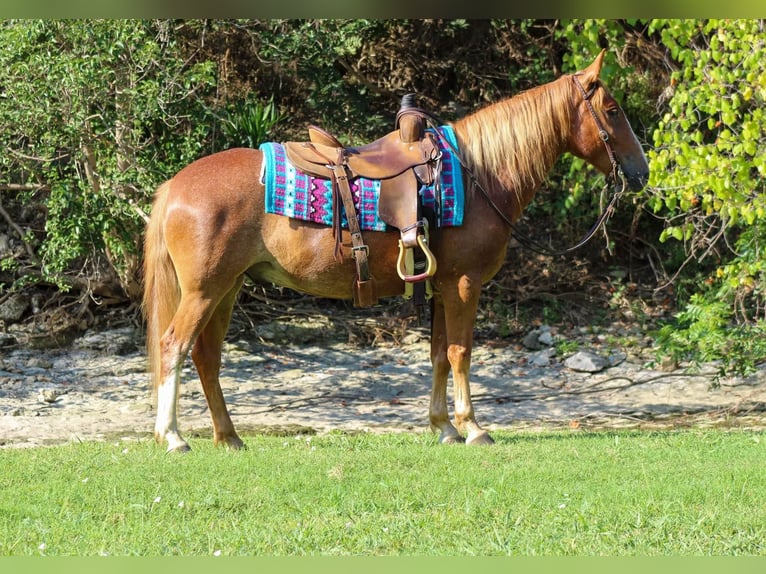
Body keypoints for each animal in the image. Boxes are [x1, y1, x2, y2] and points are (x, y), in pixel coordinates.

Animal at [142, 50, 648, 454]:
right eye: (612, 109)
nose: (641, 171)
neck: (480, 176)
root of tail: (174, 185)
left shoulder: (443, 285)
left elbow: (440, 353)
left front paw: (443, 427)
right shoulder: (464, 283)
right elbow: (462, 352)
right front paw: (473, 428)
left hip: (226, 289)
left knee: (206, 357)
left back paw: (228, 438)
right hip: (205, 291)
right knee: (174, 346)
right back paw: (173, 437)